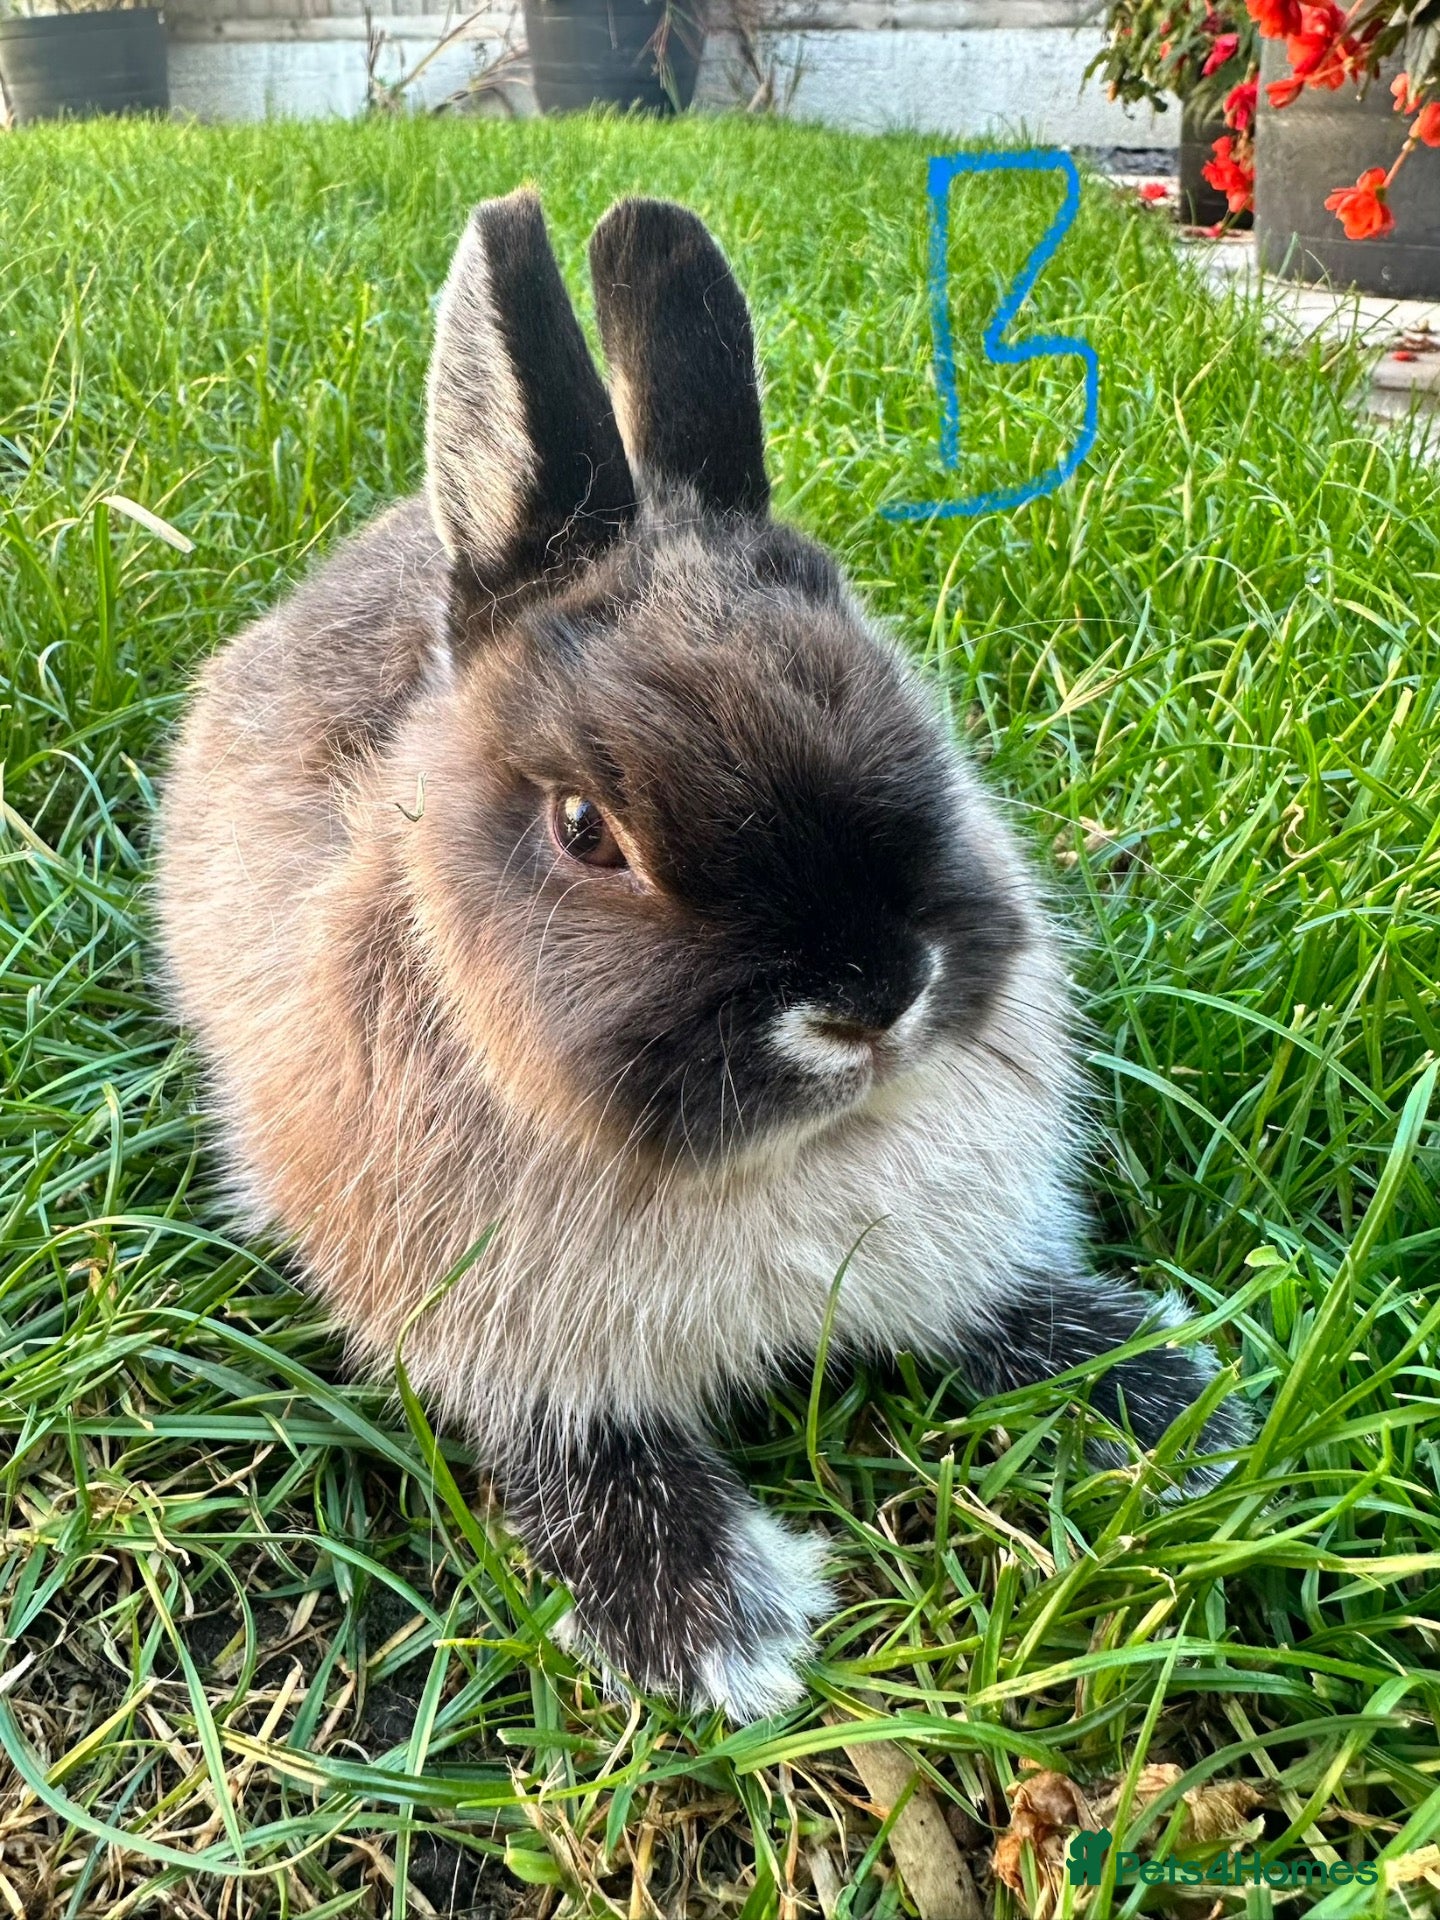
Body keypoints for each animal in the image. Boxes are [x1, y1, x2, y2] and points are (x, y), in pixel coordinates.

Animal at [155, 189, 1246, 1722]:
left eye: (912, 712)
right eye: (584, 831)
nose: (871, 995)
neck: (776, 1160)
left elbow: (1001, 1311)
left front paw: (1173, 1405)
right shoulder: (514, 1354)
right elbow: (581, 1459)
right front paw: (717, 1632)